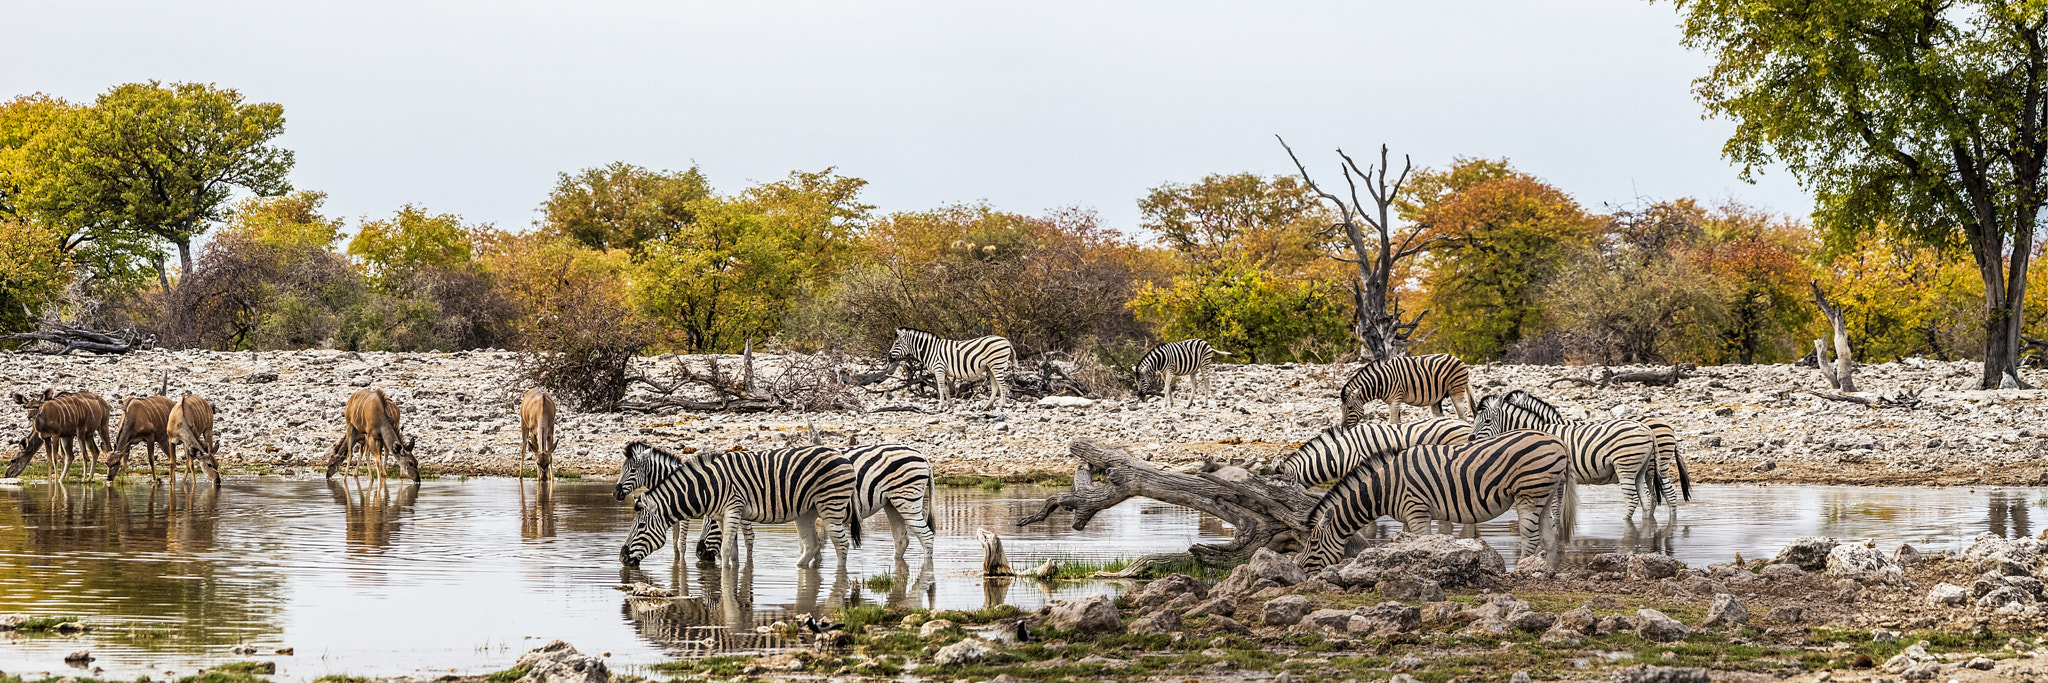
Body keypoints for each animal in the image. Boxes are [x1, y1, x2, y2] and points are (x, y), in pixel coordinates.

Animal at [610, 438, 860, 566]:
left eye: (641, 526)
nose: (621, 557)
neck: (705, 486)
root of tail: (842, 455)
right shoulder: (723, 515)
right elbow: (729, 550)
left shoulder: (732, 510)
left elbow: (721, 547)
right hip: (807, 510)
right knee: (813, 544)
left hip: (831, 506)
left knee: (841, 544)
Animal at [1294, 430, 1581, 570]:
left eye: (1313, 543)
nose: (1301, 570)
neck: (1385, 488)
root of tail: (1558, 441)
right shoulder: (1407, 516)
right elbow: (1404, 543)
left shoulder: (1417, 509)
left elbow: (1421, 541)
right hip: (1544, 493)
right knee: (1550, 536)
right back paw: (1545, 572)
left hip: (1529, 492)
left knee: (1530, 536)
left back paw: (1522, 569)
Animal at [1343, 350, 1474, 426]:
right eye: (1342, 409)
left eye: (1350, 408)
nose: (1343, 429)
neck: (1382, 381)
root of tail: (1457, 359)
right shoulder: (1394, 401)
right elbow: (1396, 422)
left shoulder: (1395, 399)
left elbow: (1392, 422)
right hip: (1438, 397)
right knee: (1439, 416)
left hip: (1456, 389)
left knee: (1462, 415)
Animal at [1474, 391, 1695, 518]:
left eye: (1486, 422)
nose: (1470, 439)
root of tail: (1650, 428)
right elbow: (1557, 507)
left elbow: (1554, 507)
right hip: (1644, 469)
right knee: (1653, 498)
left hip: (1635, 466)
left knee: (1652, 496)